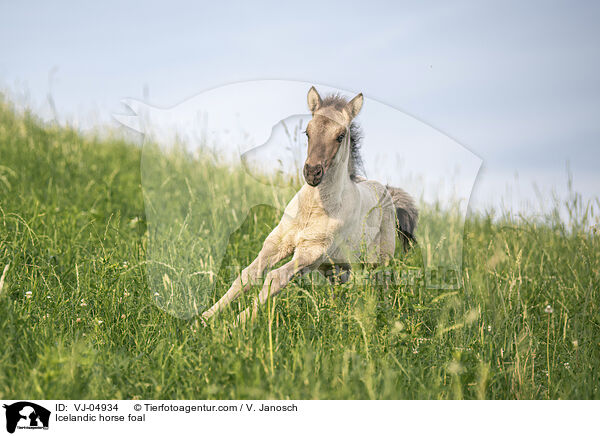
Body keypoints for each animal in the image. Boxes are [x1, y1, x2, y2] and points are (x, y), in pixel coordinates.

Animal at [202, 86, 418, 324]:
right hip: (337, 268)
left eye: (340, 136)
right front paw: (205, 318)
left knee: (384, 285)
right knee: (338, 291)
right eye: (307, 132)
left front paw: (238, 322)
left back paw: (386, 317)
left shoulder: (311, 252)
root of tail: (387, 191)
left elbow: (275, 277)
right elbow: (247, 275)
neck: (312, 208)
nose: (312, 172)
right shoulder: (277, 242)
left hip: (379, 261)